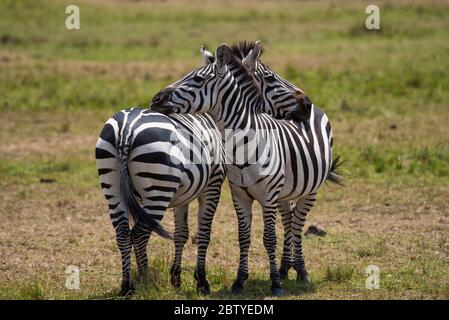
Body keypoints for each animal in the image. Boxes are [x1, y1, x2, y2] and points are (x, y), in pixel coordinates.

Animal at [96, 107, 226, 296]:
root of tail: (126, 129)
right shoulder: (212, 186)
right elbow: (203, 235)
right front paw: (202, 282)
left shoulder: (182, 196)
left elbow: (181, 234)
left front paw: (176, 279)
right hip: (158, 190)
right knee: (139, 234)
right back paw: (145, 281)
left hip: (113, 188)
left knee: (123, 234)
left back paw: (127, 286)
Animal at [150, 42, 340, 296]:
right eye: (270, 77)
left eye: (198, 79)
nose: (156, 99)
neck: (243, 147)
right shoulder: (240, 196)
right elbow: (244, 237)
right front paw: (240, 281)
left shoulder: (268, 197)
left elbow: (269, 238)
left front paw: (275, 285)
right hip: (285, 192)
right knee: (289, 221)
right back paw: (284, 268)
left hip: (310, 191)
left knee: (299, 223)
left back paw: (300, 271)